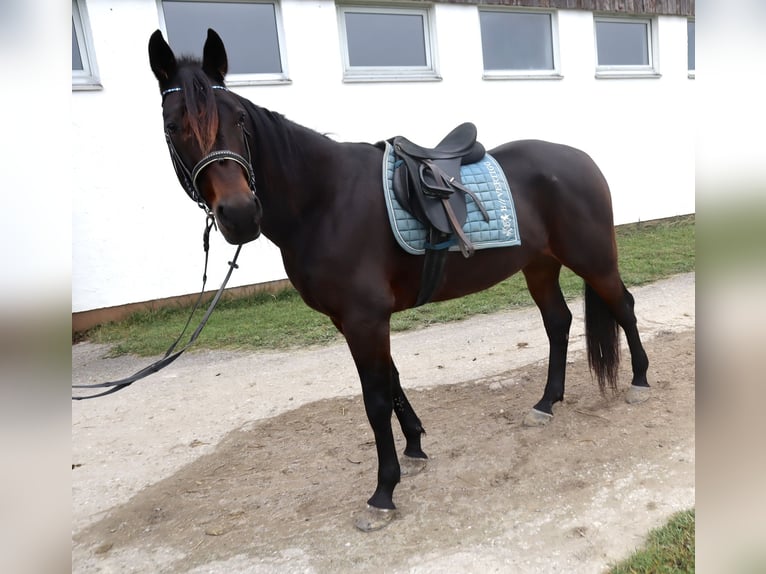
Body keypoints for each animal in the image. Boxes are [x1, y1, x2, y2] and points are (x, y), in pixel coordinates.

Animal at [148, 29, 648, 532]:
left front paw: (383, 492)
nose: (239, 214)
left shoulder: (365, 319)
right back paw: (546, 404)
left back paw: (640, 382)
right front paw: (415, 446)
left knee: (623, 306)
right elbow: (391, 382)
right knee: (558, 323)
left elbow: (375, 399)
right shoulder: (353, 320)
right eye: (172, 127)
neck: (325, 199)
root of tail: (581, 159)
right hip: (540, 266)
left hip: (593, 260)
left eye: (239, 119)